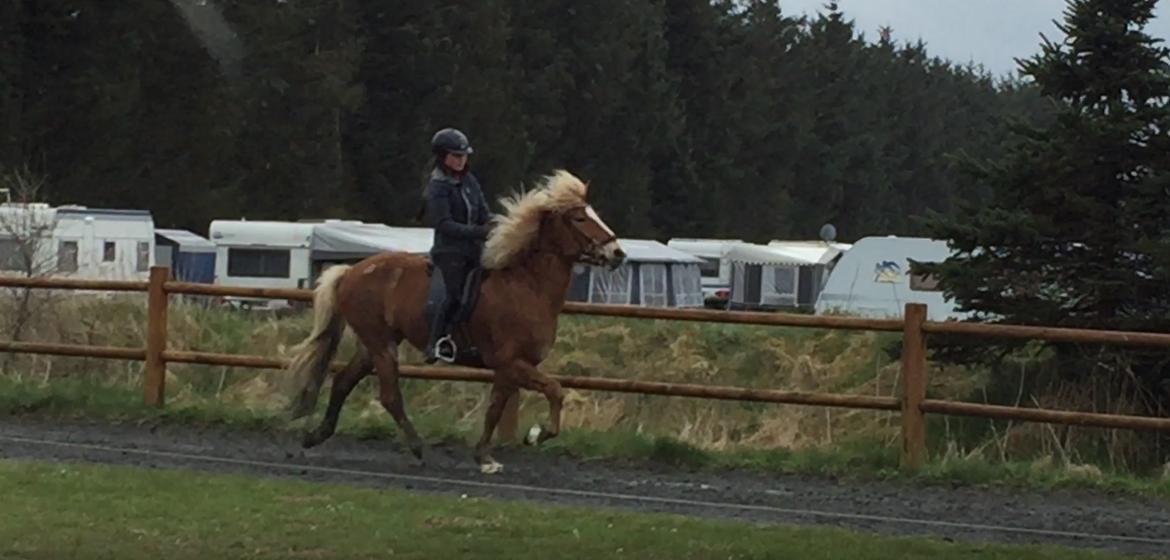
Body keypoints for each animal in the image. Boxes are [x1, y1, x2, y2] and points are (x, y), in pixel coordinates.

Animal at [284, 169, 627, 472]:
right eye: (580, 218)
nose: (617, 253)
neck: (528, 286)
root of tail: (350, 271)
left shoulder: (510, 368)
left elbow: (496, 409)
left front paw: (485, 457)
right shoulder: (510, 362)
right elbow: (555, 390)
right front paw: (535, 435)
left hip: (376, 343)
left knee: (344, 381)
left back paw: (315, 437)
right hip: (380, 344)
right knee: (390, 396)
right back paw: (417, 448)